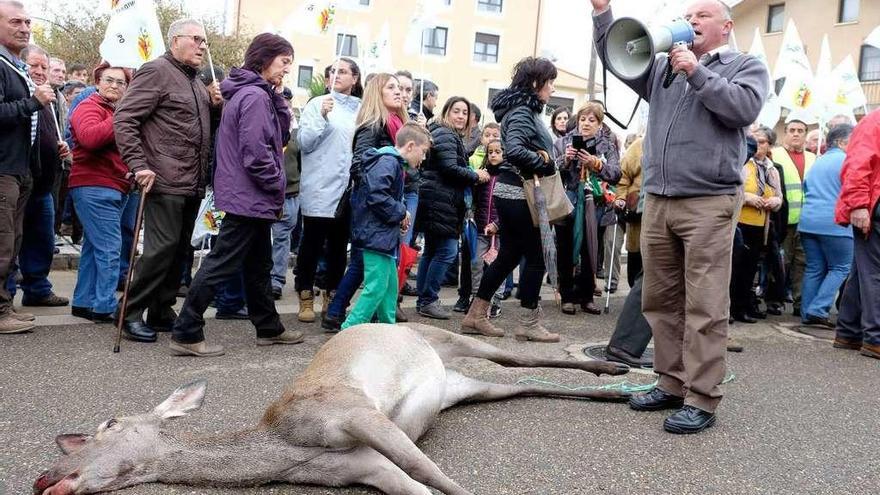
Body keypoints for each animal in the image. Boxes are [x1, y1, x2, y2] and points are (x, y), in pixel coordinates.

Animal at [32, 324, 624, 494]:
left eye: (107, 423)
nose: (44, 476)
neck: (284, 450)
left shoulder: (351, 412)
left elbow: (434, 474)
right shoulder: (367, 468)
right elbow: (419, 484)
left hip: (444, 336)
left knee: (514, 355)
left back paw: (612, 368)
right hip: (457, 387)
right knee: (515, 386)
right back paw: (617, 388)